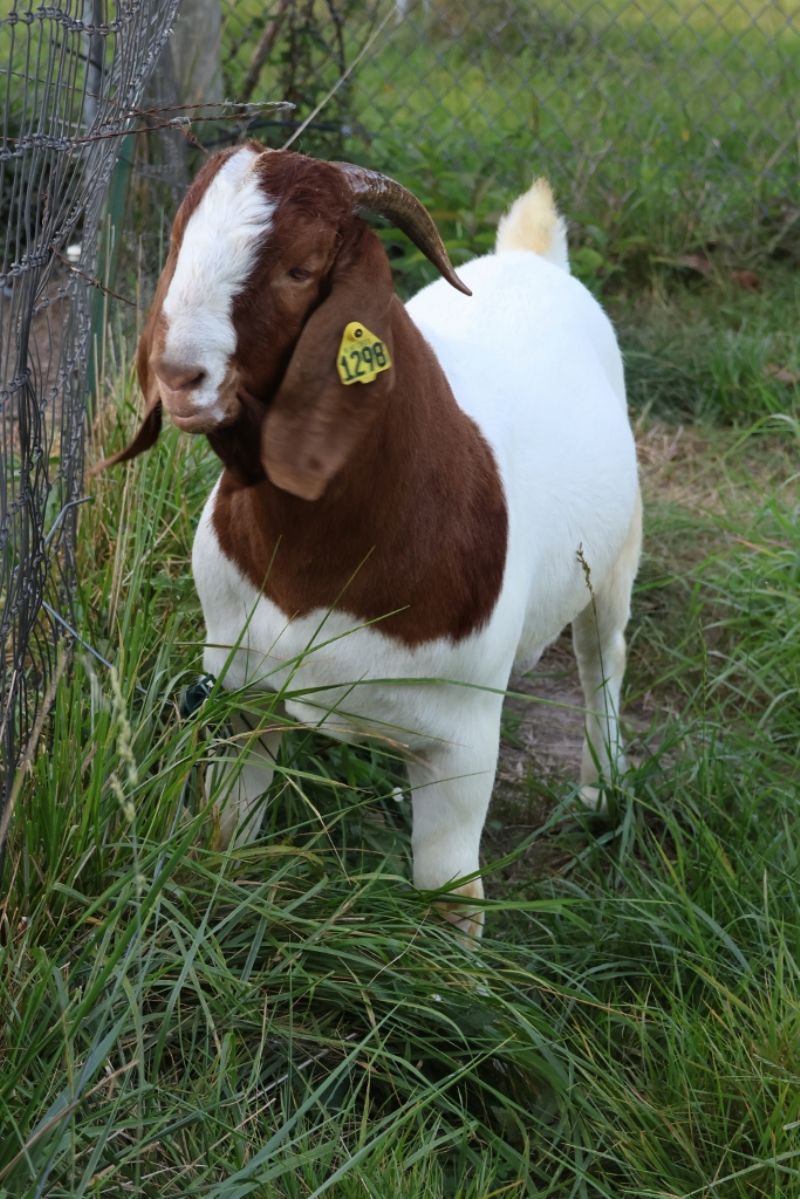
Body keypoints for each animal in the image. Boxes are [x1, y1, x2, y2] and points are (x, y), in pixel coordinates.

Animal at [100, 145, 642, 940]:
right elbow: (229, 831)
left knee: (601, 654)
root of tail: (533, 256)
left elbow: (449, 894)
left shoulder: (463, 739)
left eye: (300, 268)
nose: (177, 375)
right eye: (177, 243)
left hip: (617, 557)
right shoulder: (238, 687)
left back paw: (601, 793)